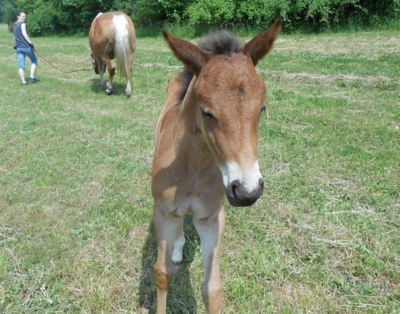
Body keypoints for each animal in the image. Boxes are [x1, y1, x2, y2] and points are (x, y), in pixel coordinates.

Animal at [152, 20, 282, 314]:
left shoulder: (211, 218)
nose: (247, 191)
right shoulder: (163, 213)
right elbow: (163, 274)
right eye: (207, 112)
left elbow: (212, 290)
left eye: (262, 108)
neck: (191, 171)